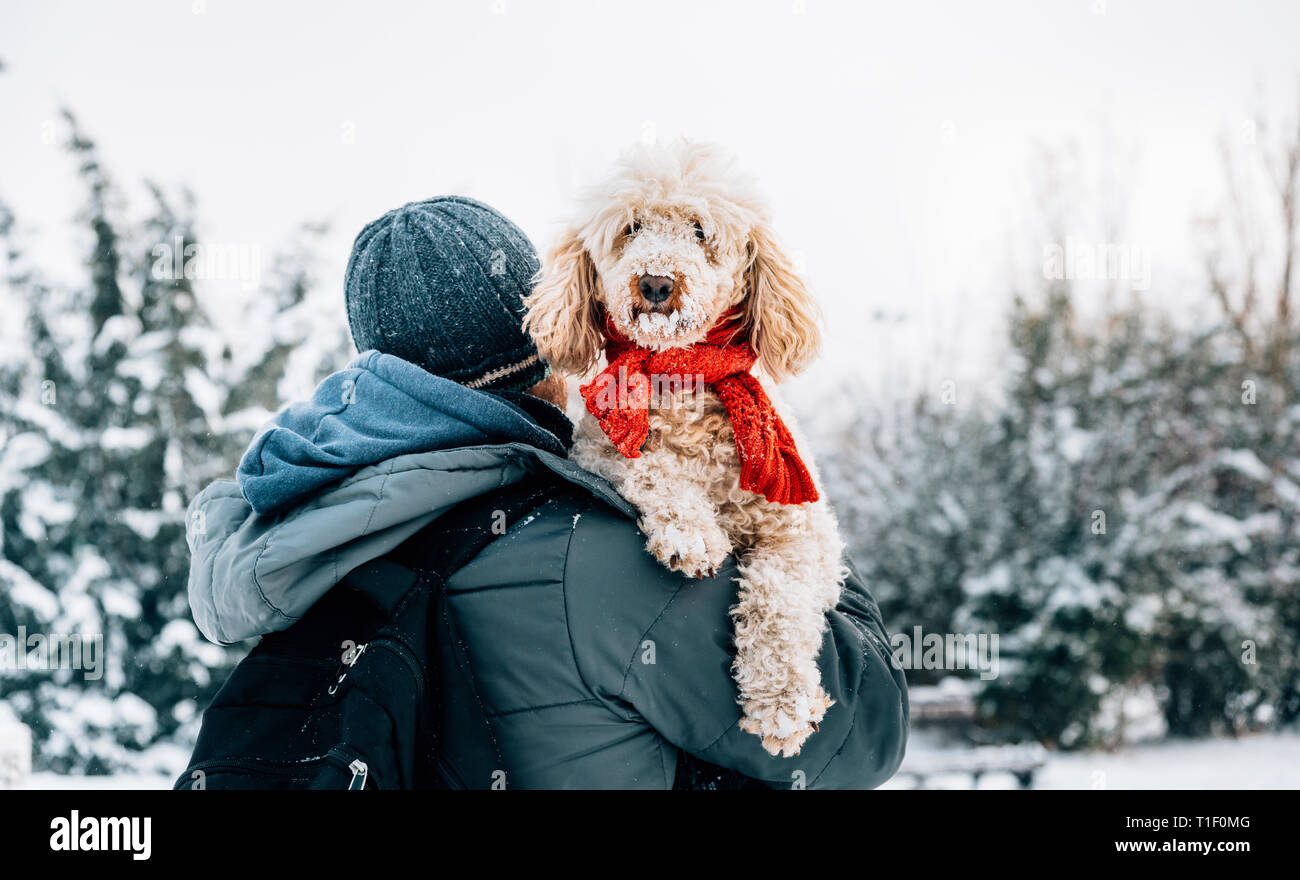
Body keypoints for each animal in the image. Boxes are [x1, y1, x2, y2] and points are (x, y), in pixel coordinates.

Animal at [522, 139, 847, 753]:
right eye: (631, 228)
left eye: (700, 230)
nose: (655, 282)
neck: (684, 380)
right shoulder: (600, 451)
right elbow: (649, 467)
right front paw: (690, 534)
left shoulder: (801, 531)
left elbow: (780, 597)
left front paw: (783, 703)